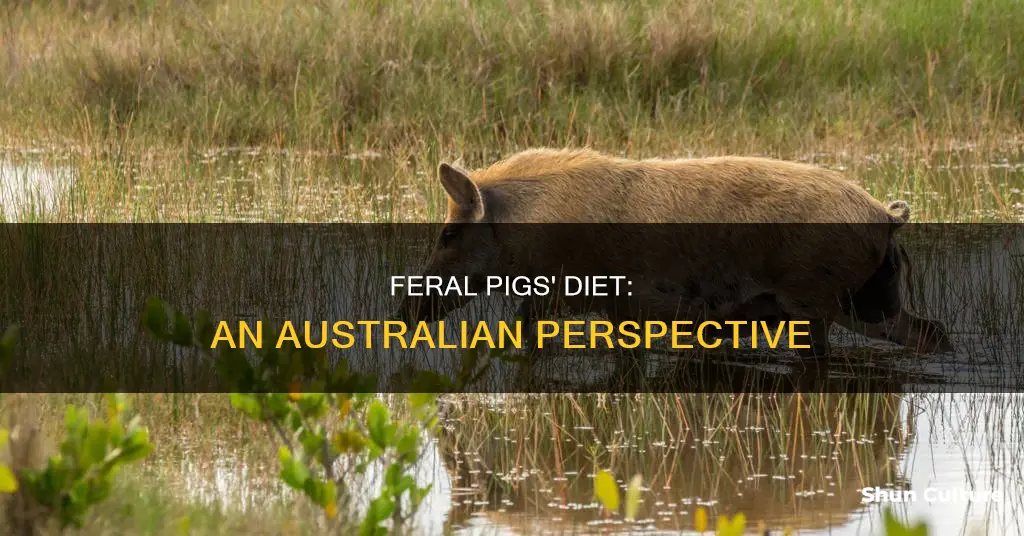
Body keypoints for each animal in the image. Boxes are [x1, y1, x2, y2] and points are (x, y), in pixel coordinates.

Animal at [397, 148, 953, 362]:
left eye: (448, 234)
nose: (406, 310)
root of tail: (885, 212)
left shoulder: (574, 292)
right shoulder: (604, 304)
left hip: (814, 299)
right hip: (869, 300)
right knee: (931, 332)